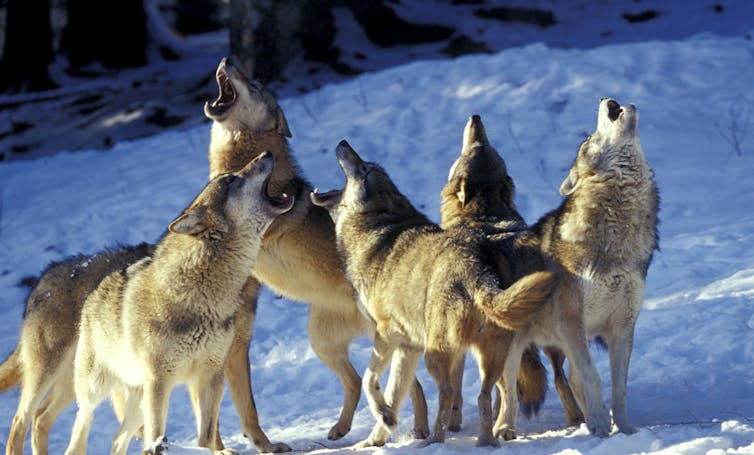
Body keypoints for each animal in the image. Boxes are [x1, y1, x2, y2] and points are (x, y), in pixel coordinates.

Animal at [62, 153, 294, 455]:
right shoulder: (160, 383)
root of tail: (95, 290)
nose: (266, 154)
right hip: (96, 390)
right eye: (230, 180)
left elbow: (207, 434)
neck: (202, 297)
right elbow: (158, 434)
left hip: (138, 397)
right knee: (80, 428)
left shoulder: (210, 376)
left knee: (117, 438)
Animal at [203, 56, 428, 442]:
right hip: (322, 343)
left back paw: (419, 430)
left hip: (375, 339)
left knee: (406, 387)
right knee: (357, 382)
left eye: (256, 85)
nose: (227, 59)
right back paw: (342, 429)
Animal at [308, 142, 556, 448]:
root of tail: (475, 267)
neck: (373, 232)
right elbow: (395, 392)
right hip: (488, 357)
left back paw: (434, 442)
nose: (343, 143)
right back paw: (486, 442)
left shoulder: (386, 334)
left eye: (364, 168)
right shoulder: (407, 346)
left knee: (449, 394)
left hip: (435, 356)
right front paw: (377, 435)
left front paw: (384, 421)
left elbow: (369, 380)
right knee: (485, 396)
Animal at [524, 100, 656, 434]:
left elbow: (619, 389)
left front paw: (623, 430)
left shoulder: (623, 325)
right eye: (587, 140)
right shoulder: (572, 324)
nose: (607, 100)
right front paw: (598, 427)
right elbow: (592, 378)